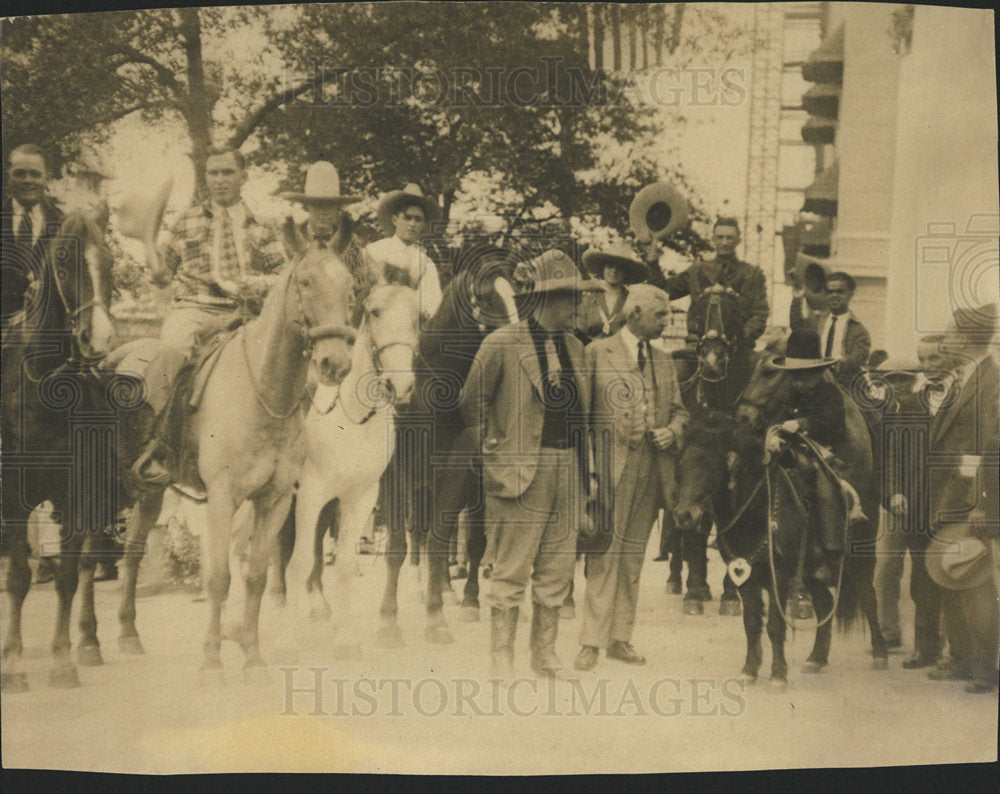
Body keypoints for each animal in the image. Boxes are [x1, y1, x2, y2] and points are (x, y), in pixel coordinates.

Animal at [112, 241, 356, 680]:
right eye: (306, 282)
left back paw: (128, 634)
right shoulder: (224, 497)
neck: (261, 393)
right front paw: (212, 659)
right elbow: (219, 578)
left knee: (134, 551)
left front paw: (252, 655)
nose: (335, 363)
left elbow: (256, 575)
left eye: (349, 285)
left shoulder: (275, 499)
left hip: (152, 490)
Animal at [280, 284, 420, 656]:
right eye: (374, 312)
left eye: (418, 317)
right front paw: (291, 640)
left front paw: (344, 641)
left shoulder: (361, 497)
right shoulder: (311, 493)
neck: (353, 419)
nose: (400, 386)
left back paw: (320, 610)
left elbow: (343, 564)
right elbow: (299, 561)